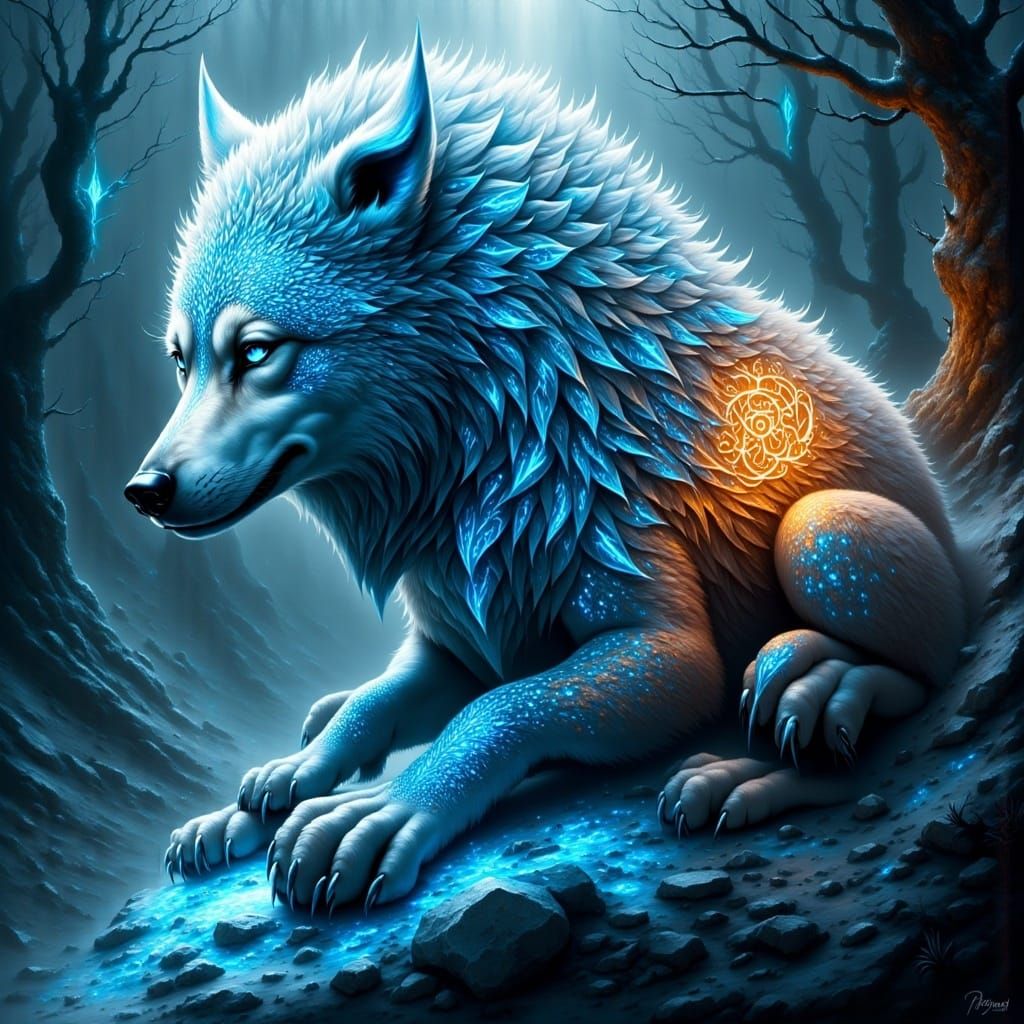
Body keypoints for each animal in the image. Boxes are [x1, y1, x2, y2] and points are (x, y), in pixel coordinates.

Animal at [125, 33, 965, 912]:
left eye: (256, 352)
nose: (143, 493)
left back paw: (789, 716)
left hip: (822, 526)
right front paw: (278, 787)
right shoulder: (451, 645)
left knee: (917, 687)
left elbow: (500, 710)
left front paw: (380, 811)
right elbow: (369, 708)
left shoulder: (666, 649)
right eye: (181, 360)